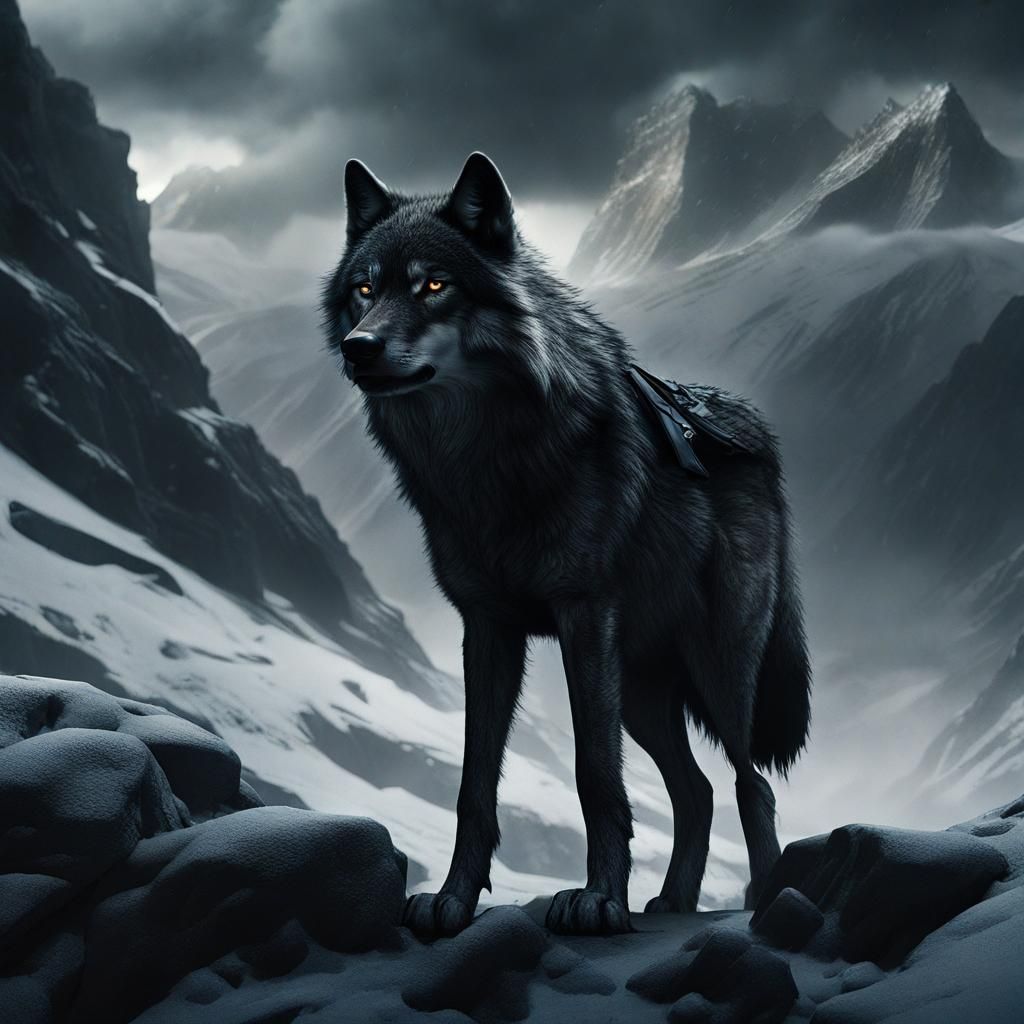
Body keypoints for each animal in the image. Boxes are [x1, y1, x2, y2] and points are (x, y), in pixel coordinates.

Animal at [321, 152, 811, 937]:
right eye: (364, 289)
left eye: (434, 285)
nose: (358, 347)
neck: (486, 460)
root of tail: (755, 432)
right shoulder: (487, 628)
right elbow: (474, 782)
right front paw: (453, 901)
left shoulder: (584, 617)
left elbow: (595, 778)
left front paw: (599, 900)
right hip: (641, 692)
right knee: (697, 791)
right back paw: (673, 901)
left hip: (716, 669)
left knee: (749, 783)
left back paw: (765, 898)